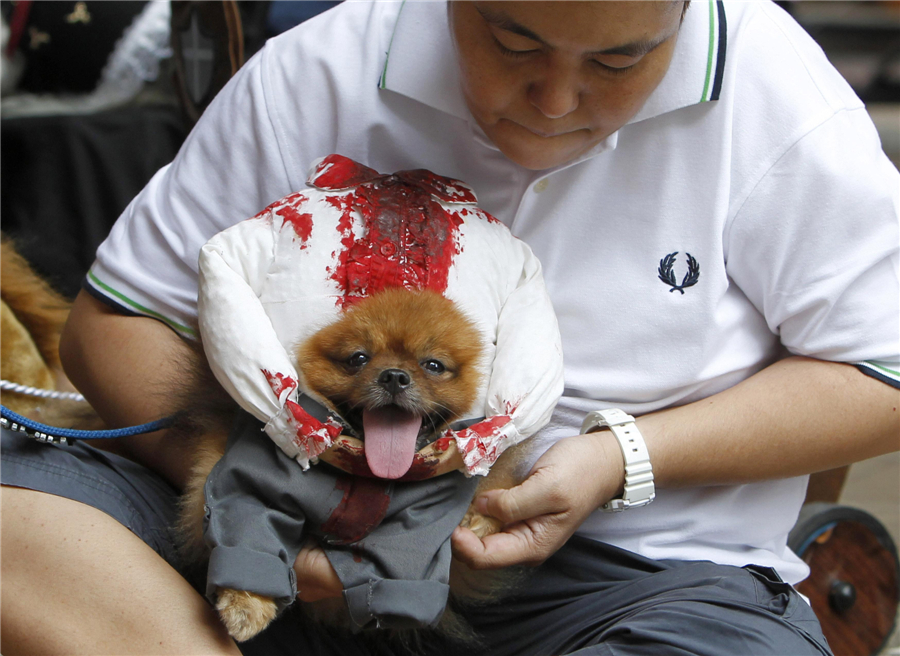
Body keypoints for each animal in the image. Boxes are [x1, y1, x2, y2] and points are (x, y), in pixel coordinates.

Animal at [178, 286, 520, 640]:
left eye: (434, 365)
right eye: (358, 358)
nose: (394, 376)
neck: (363, 470)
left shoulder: (421, 518)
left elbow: (399, 562)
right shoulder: (255, 478)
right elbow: (248, 525)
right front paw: (246, 603)